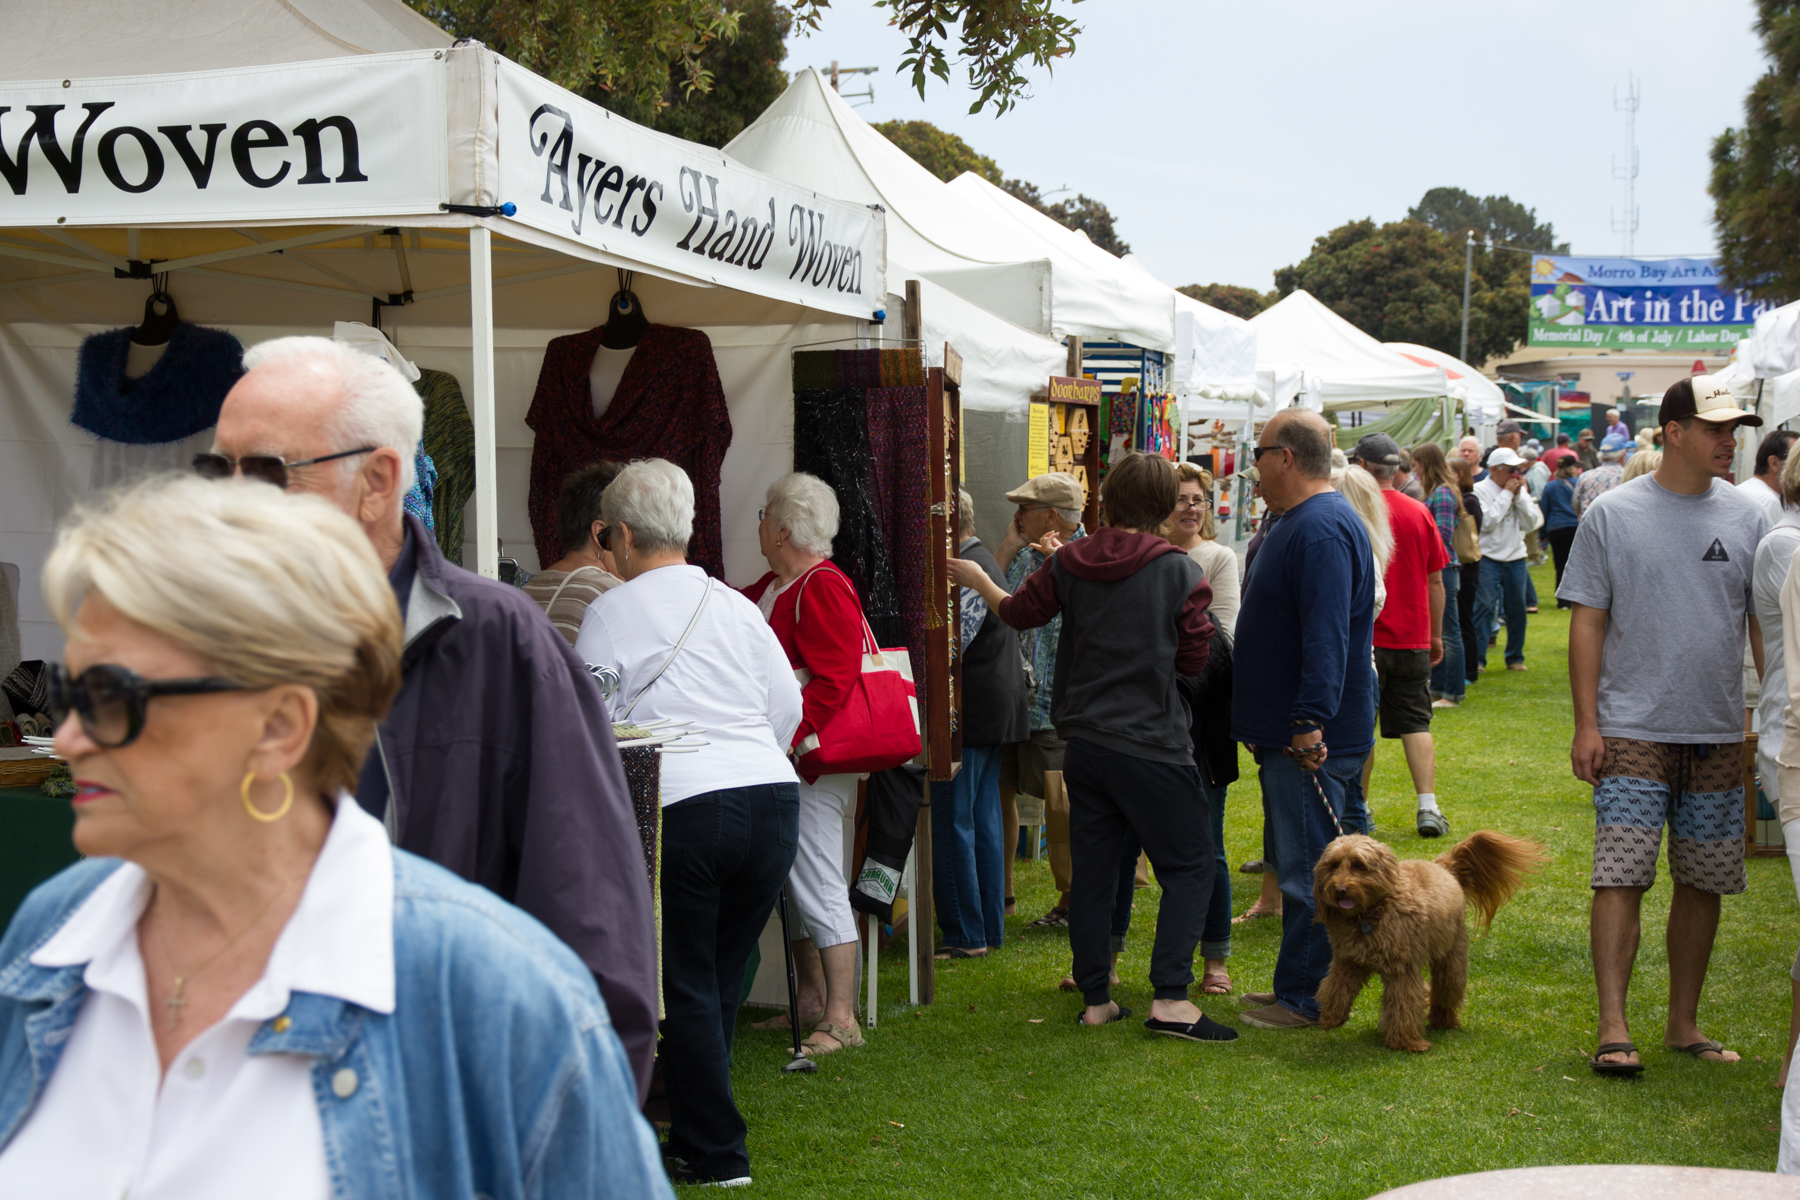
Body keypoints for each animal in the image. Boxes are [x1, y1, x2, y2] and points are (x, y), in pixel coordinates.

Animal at [1310, 834, 1548, 1050]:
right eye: (1333, 865)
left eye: (1359, 865)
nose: (1340, 890)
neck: (1370, 913)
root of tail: (1443, 866)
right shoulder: (1347, 961)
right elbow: (1335, 987)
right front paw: (1331, 1017)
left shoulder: (1402, 970)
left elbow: (1404, 1004)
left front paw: (1407, 1042)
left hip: (1452, 957)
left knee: (1445, 991)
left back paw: (1444, 1020)